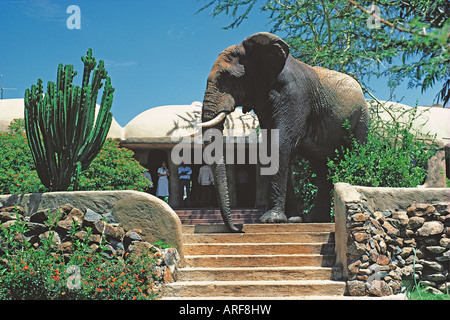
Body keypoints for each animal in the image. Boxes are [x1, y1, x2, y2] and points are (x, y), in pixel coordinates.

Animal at [197, 32, 370, 232]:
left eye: (228, 79)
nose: (238, 229)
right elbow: (271, 147)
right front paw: (292, 220)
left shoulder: (294, 96)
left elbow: (280, 144)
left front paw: (270, 220)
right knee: (321, 167)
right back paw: (316, 219)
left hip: (362, 117)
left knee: (356, 151)